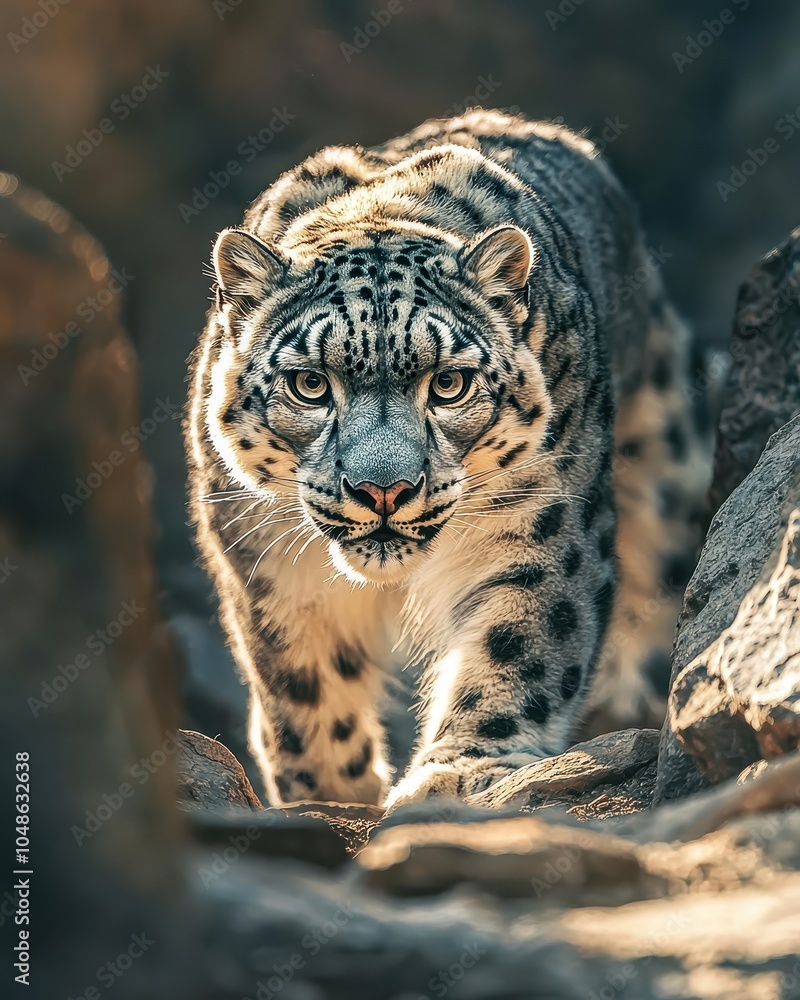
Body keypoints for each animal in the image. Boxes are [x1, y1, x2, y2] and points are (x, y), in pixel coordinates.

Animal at [186, 109, 710, 809]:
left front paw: (459, 770)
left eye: (449, 384)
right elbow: (302, 678)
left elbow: (518, 641)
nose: (383, 489)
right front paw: (327, 787)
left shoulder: (540, 525)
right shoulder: (267, 557)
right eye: (311, 384)